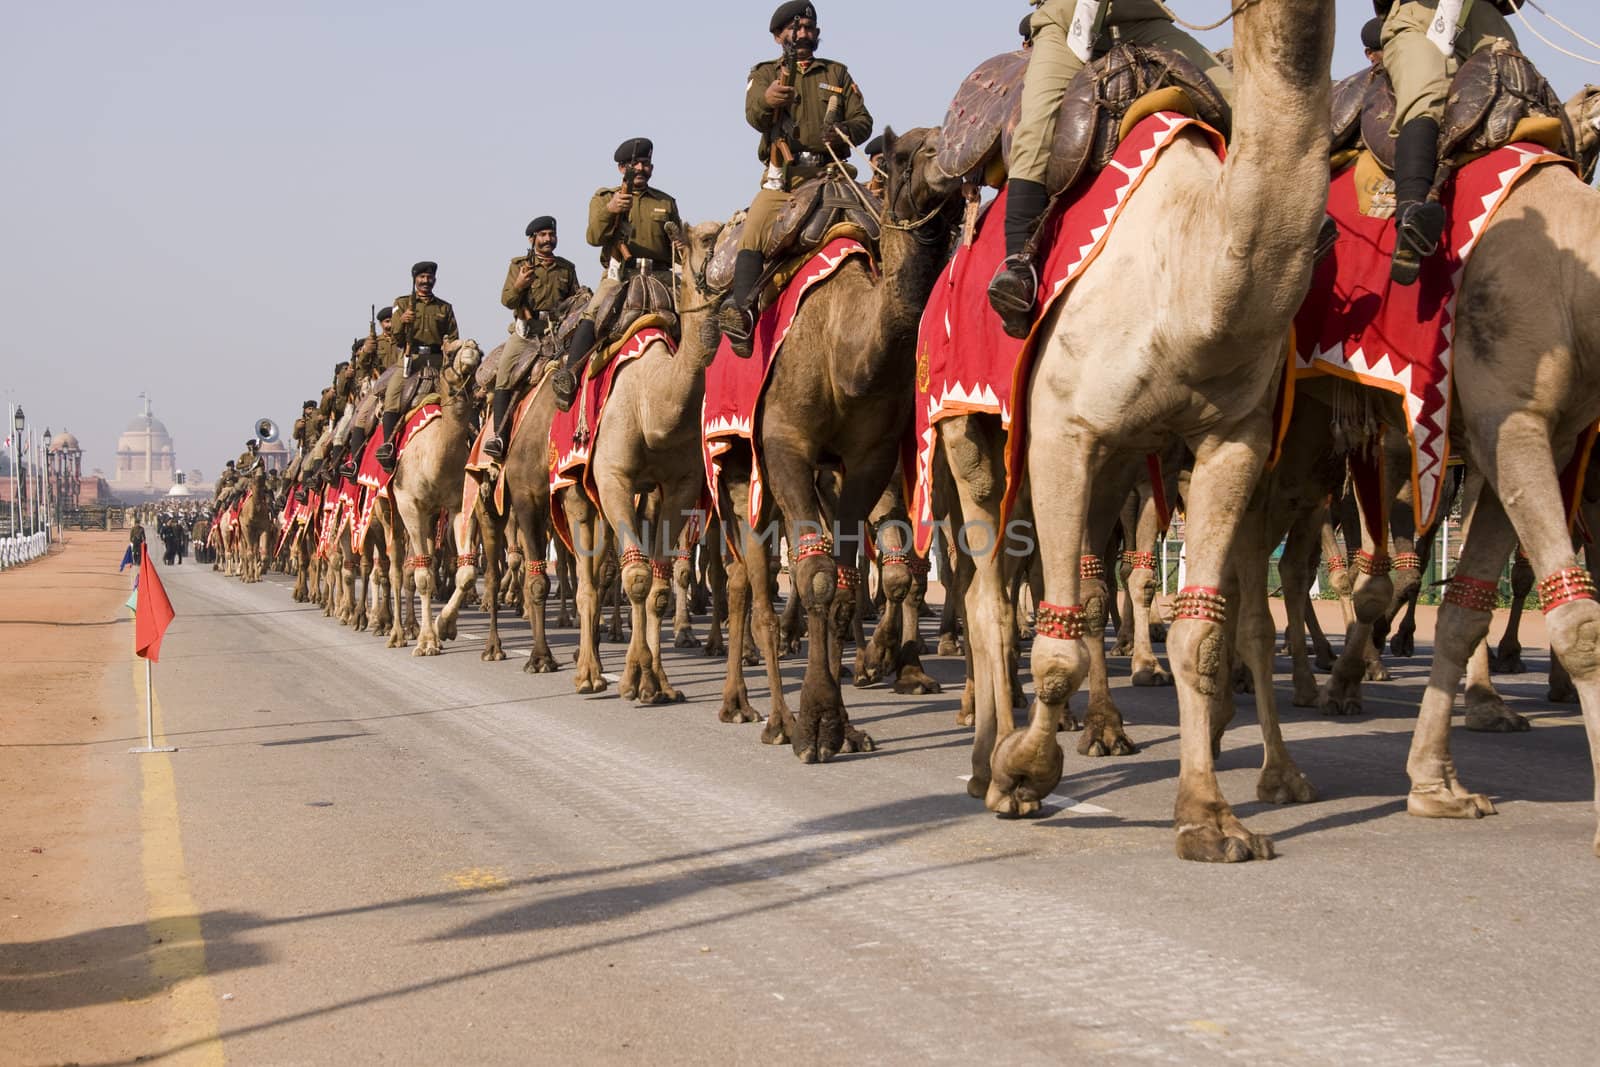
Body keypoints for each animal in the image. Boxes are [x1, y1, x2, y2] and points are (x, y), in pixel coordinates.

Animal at [384, 342, 476, 659]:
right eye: (450, 351)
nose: (471, 349)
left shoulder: (457, 505)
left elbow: (466, 571)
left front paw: (443, 627)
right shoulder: (409, 504)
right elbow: (424, 577)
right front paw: (426, 642)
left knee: (409, 568)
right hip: (387, 511)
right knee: (395, 570)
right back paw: (396, 634)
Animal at [716, 129, 960, 764]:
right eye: (903, 156)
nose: (953, 155)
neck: (844, 350)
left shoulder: (870, 459)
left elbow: (851, 581)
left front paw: (846, 722)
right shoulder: (786, 444)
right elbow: (817, 575)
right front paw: (814, 726)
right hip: (740, 468)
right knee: (747, 584)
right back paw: (760, 713)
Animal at [972, 0, 1337, 863]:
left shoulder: (1232, 438)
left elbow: (1200, 636)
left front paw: (1210, 815)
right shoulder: (1061, 429)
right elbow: (1059, 642)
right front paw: (1024, 773)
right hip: (972, 435)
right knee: (986, 591)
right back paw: (985, 759)